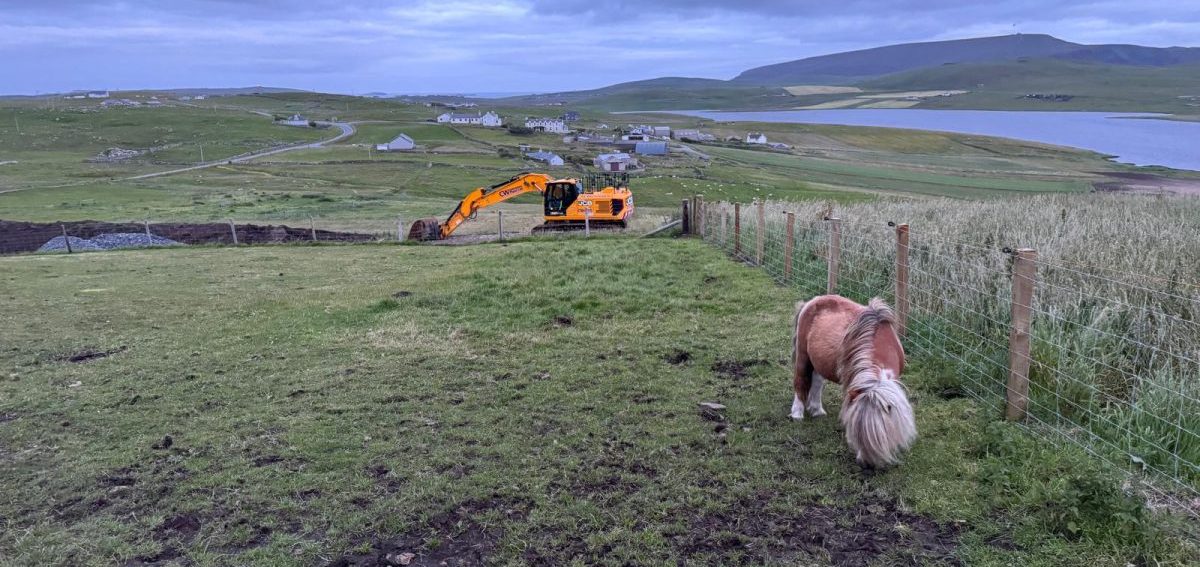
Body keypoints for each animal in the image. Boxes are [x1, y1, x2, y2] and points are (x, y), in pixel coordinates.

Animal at [790, 295, 916, 467]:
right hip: (803, 357)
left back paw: (817, 411)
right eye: (856, 432)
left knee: (816, 382)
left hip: (818, 362)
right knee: (800, 382)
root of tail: (813, 301)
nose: (867, 465)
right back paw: (797, 414)